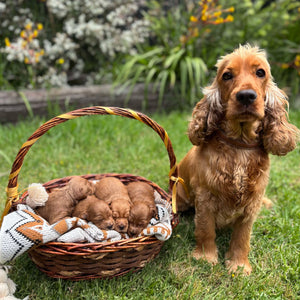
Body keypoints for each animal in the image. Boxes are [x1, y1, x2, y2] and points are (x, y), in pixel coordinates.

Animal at [177, 44, 298, 274]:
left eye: (260, 72)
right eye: (227, 75)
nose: (246, 96)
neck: (240, 145)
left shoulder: (253, 201)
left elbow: (243, 236)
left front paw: (239, 266)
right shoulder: (205, 196)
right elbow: (205, 228)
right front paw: (206, 258)